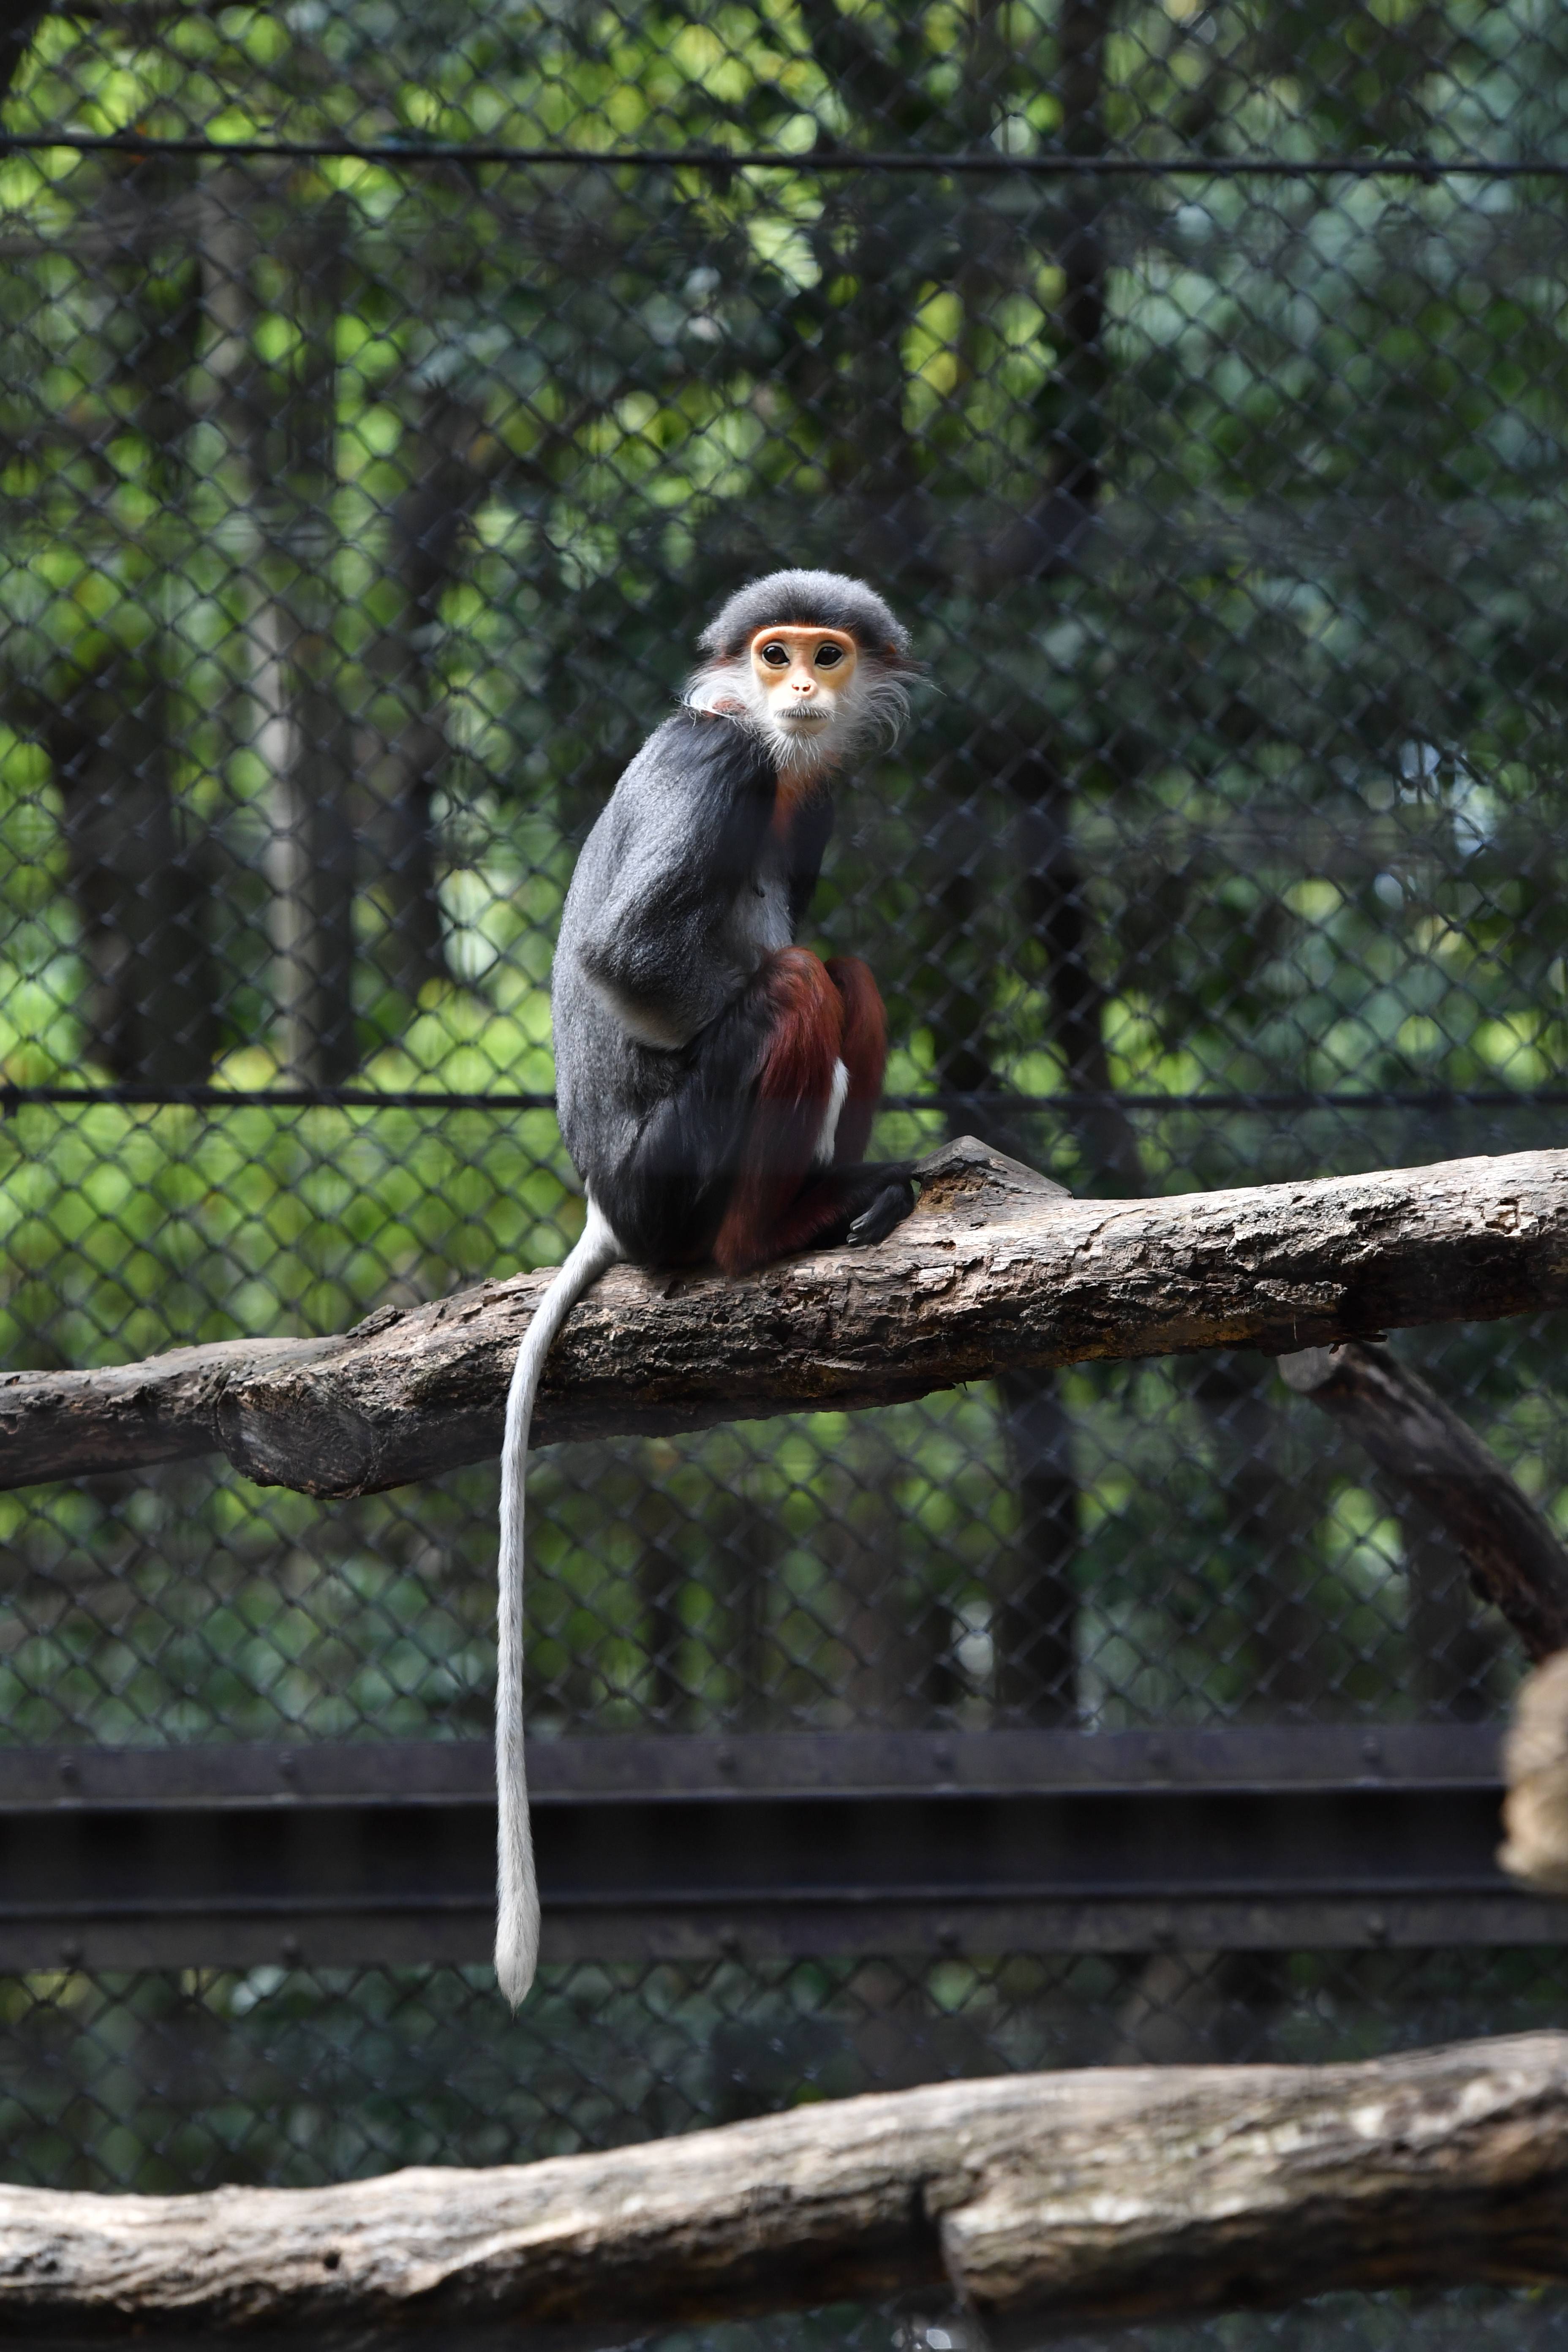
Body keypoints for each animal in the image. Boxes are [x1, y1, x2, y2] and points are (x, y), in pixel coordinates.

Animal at [496, 569, 921, 2004]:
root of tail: (602, 1205)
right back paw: (776, 1234)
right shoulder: (715, 758)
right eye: (772, 654)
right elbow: (632, 956)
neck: (772, 760)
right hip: (668, 1183)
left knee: (846, 969)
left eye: (827, 659)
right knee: (796, 981)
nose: (796, 691)